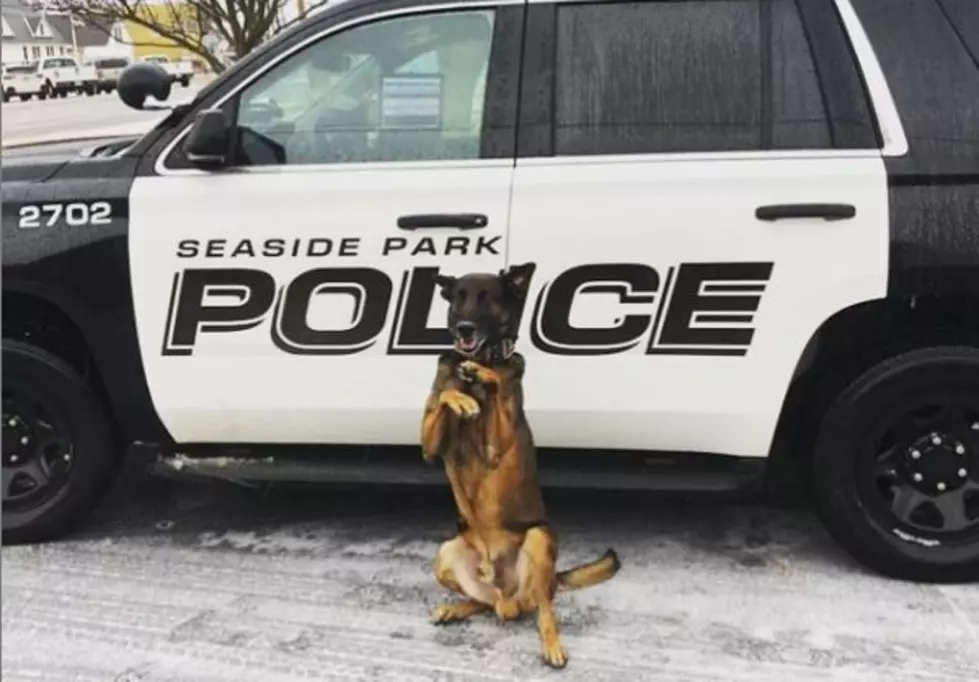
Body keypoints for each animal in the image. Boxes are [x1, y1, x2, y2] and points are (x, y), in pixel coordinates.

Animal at [420, 262, 620, 668]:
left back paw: (552, 644)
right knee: (487, 603)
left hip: (539, 540)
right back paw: (455, 609)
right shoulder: (429, 445)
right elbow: (445, 395)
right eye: (458, 298)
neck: (481, 356)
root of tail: (508, 594)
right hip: (446, 553)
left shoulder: (494, 445)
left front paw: (482, 380)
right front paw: (463, 395)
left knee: (540, 609)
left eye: (487, 299)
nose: (464, 329)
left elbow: (497, 381)